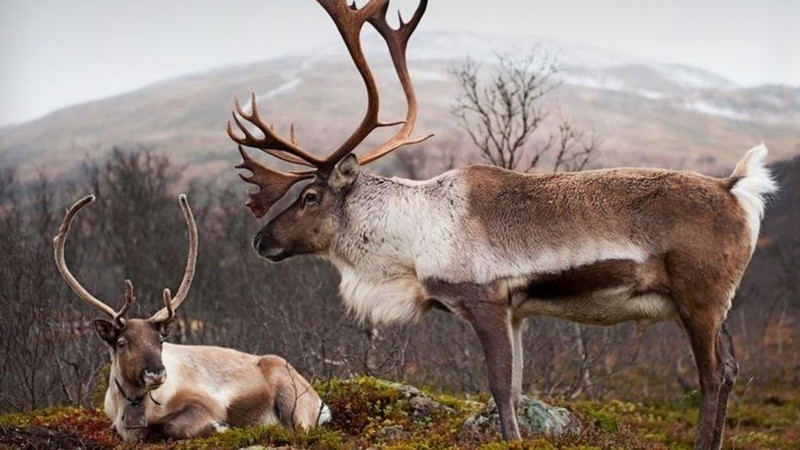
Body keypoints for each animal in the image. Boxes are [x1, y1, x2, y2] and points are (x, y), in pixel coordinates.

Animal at [53, 194, 331, 442]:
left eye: (160, 341)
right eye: (122, 343)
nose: (156, 373)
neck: (131, 406)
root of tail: (319, 402)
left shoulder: (205, 403)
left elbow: (174, 426)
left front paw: (220, 428)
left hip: (293, 400)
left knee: (299, 428)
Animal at [226, 1, 777, 448]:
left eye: (310, 196)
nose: (260, 240)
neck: (412, 243)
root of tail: (736, 189)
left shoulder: (485, 300)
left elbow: (498, 387)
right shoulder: (517, 312)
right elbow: (514, 385)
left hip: (700, 297)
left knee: (713, 375)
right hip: (714, 304)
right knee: (731, 371)